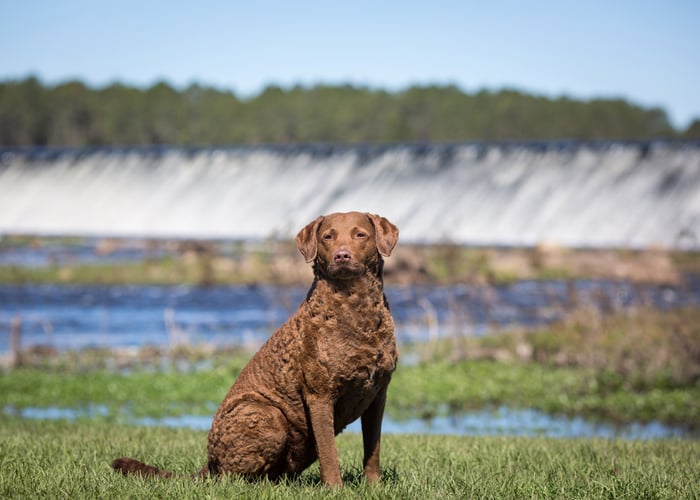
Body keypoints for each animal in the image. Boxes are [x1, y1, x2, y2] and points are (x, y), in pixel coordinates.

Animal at [113, 211, 400, 484]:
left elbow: (372, 449)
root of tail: (210, 462)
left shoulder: (379, 394)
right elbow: (329, 453)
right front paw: (334, 488)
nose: (342, 255)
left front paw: (374, 486)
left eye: (360, 235)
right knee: (235, 477)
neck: (356, 309)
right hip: (265, 414)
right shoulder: (320, 395)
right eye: (328, 237)